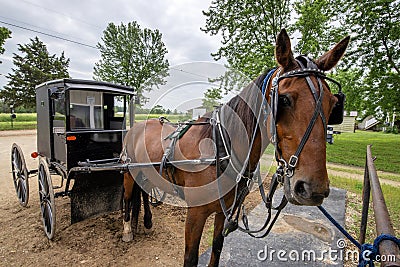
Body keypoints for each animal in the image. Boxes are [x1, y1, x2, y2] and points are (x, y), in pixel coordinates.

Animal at [120, 28, 348, 266]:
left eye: (334, 105)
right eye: (284, 100)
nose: (312, 188)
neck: (221, 149)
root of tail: (136, 127)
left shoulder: (225, 211)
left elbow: (217, 247)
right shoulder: (195, 215)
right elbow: (190, 257)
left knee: (143, 192)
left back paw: (146, 222)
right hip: (128, 172)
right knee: (128, 197)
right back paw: (127, 229)